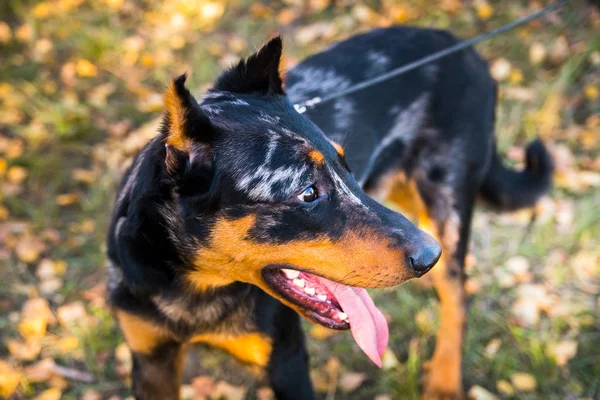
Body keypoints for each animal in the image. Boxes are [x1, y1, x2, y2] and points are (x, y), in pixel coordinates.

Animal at [108, 26, 552, 398]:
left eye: (347, 166)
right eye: (308, 192)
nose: (430, 256)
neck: (195, 287)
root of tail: (467, 50)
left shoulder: (285, 361)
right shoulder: (151, 361)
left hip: (446, 205)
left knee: (458, 296)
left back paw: (443, 382)